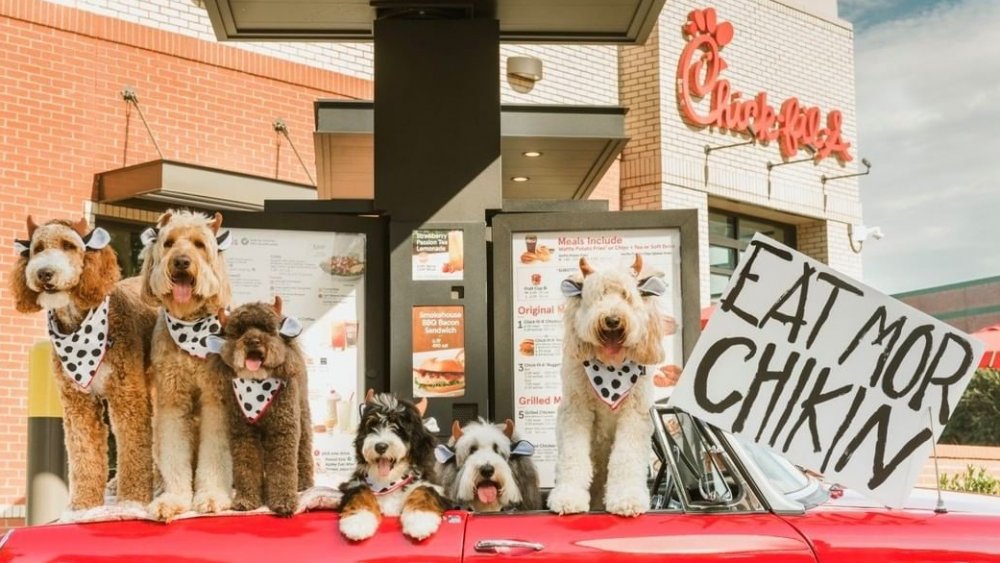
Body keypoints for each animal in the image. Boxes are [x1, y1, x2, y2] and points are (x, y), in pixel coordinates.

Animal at [203, 298, 312, 516]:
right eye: (239, 331)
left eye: (266, 329)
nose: (253, 341)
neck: (257, 385)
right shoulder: (244, 433)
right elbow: (247, 465)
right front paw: (246, 500)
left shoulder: (283, 430)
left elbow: (282, 467)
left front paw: (283, 502)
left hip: (302, 411)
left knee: (304, 445)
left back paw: (304, 482)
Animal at [548, 256, 664, 520]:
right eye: (599, 296)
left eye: (626, 296)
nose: (612, 320)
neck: (612, 369)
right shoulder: (576, 408)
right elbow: (573, 455)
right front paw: (568, 498)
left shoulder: (635, 413)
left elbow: (626, 457)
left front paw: (627, 500)